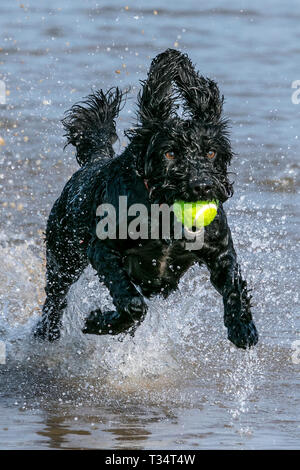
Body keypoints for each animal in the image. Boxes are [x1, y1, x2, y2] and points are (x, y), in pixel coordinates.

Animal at [33, 48, 258, 348]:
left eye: (211, 152)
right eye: (170, 153)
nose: (202, 186)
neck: (166, 218)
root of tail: (93, 161)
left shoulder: (220, 250)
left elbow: (233, 285)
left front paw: (242, 326)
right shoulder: (103, 249)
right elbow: (132, 302)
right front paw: (102, 323)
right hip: (64, 256)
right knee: (55, 298)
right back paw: (47, 332)